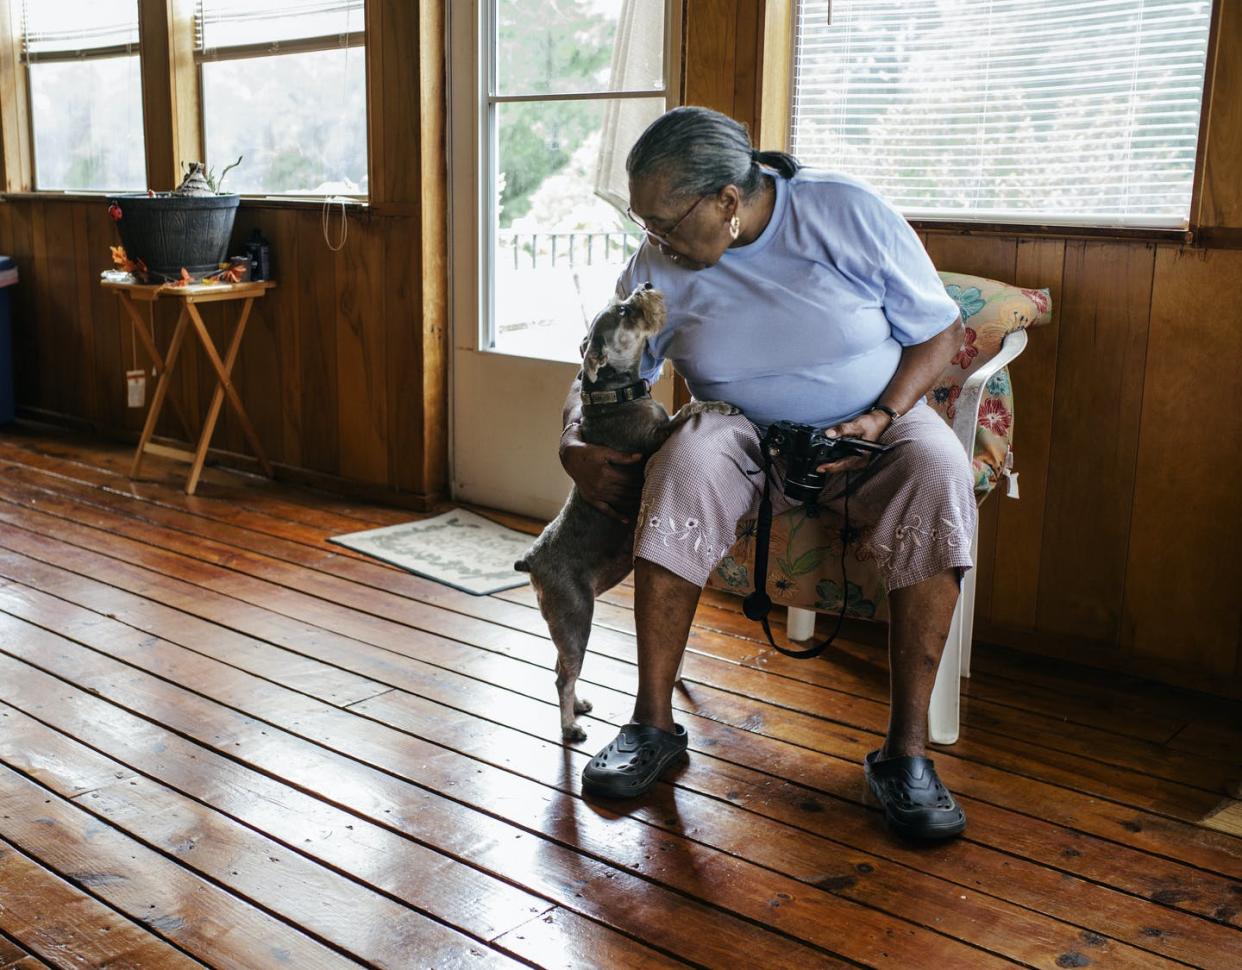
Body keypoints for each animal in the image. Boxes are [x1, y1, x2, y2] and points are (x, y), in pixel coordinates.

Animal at [514, 284, 735, 740]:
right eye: (622, 311)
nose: (645, 286)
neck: (614, 394)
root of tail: (532, 560)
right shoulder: (655, 437)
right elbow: (689, 411)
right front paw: (718, 405)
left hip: (564, 621)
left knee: (561, 666)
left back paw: (578, 705)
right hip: (576, 615)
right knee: (564, 674)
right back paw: (569, 726)